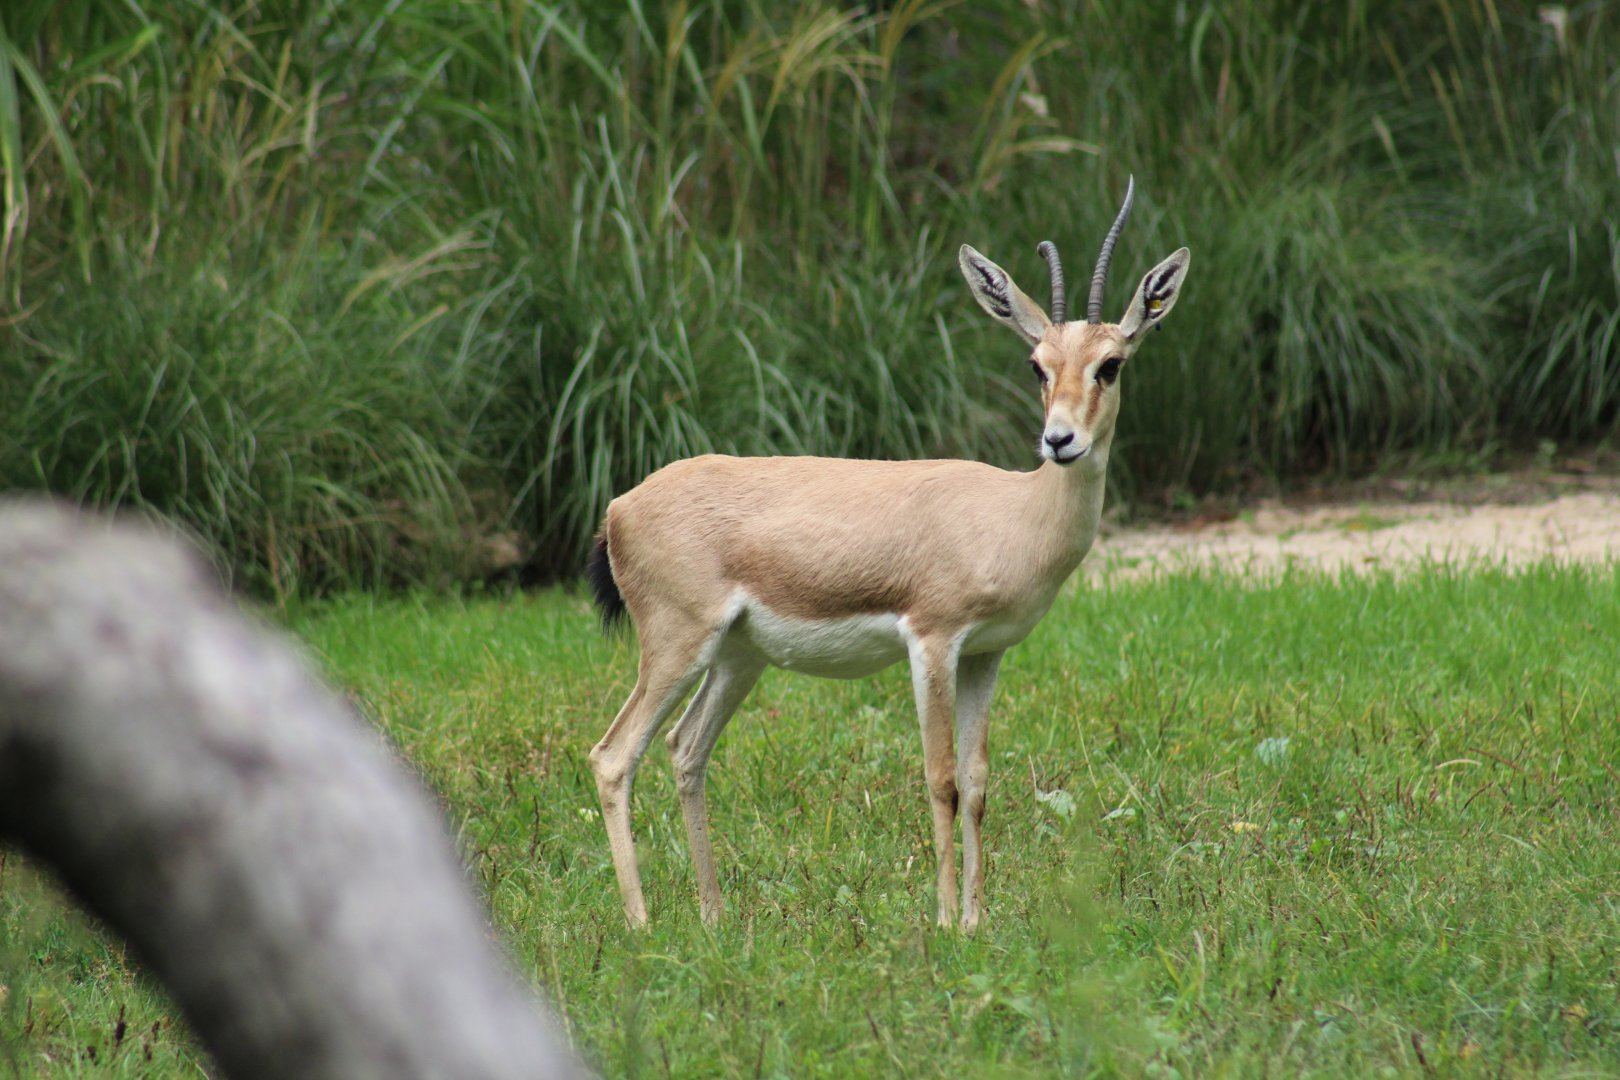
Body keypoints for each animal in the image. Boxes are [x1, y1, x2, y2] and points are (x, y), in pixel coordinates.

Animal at [587, 178, 1189, 931]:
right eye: (1037, 366)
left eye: (1110, 365)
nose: (1059, 441)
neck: (1015, 515)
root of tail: (619, 507)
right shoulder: (931, 641)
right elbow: (940, 779)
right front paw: (945, 922)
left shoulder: (987, 653)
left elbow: (979, 781)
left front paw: (976, 919)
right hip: (677, 644)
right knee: (613, 756)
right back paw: (641, 924)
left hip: (737, 656)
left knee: (686, 749)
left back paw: (714, 918)